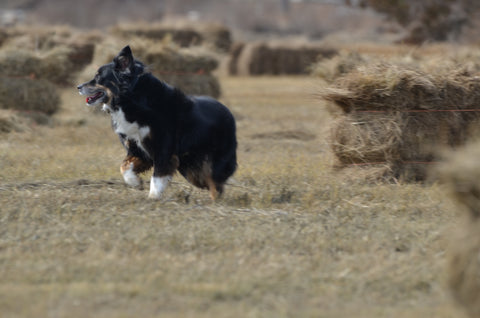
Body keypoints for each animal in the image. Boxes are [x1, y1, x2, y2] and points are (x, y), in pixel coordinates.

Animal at [76, 46, 238, 200]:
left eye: (98, 77)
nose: (78, 87)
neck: (130, 99)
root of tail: (229, 113)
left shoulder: (163, 148)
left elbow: (157, 177)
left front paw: (153, 197)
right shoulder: (138, 149)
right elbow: (124, 167)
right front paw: (136, 183)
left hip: (212, 160)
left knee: (214, 181)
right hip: (188, 166)